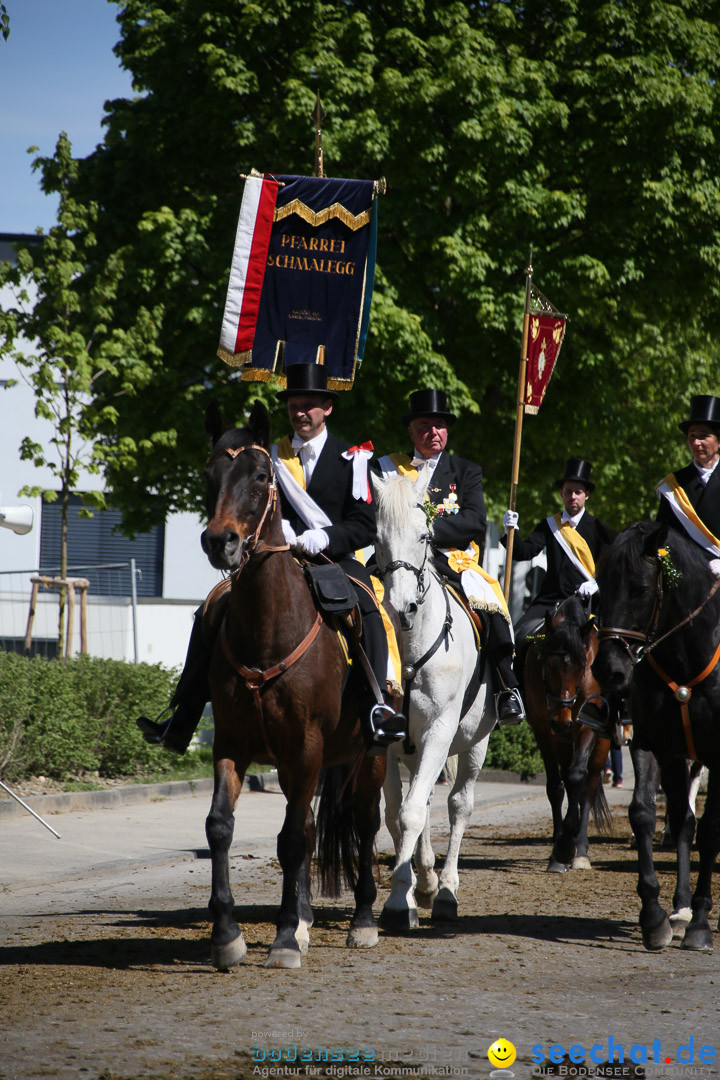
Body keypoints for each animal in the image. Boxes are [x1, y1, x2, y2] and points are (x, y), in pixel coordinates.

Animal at [199, 403, 386, 972]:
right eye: (209, 474)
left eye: (262, 477)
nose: (220, 542)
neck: (267, 628)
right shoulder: (234, 743)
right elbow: (221, 827)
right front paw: (228, 935)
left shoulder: (305, 746)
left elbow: (289, 841)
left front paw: (281, 939)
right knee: (306, 827)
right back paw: (303, 919)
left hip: (371, 752)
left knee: (364, 822)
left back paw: (363, 920)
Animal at [371, 473, 496, 928]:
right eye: (377, 539)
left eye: (425, 536)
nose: (400, 607)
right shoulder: (386, 742)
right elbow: (397, 814)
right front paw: (405, 893)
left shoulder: (440, 734)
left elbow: (413, 813)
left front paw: (397, 902)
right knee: (422, 801)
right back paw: (425, 884)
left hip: (475, 743)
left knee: (459, 805)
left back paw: (444, 891)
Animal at [520, 596, 613, 872]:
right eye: (548, 664)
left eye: (582, 665)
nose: (562, 722)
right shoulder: (543, 729)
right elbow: (555, 786)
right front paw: (558, 849)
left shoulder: (586, 726)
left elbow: (577, 778)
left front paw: (568, 847)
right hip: (561, 742)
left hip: (600, 742)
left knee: (588, 787)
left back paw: (580, 849)